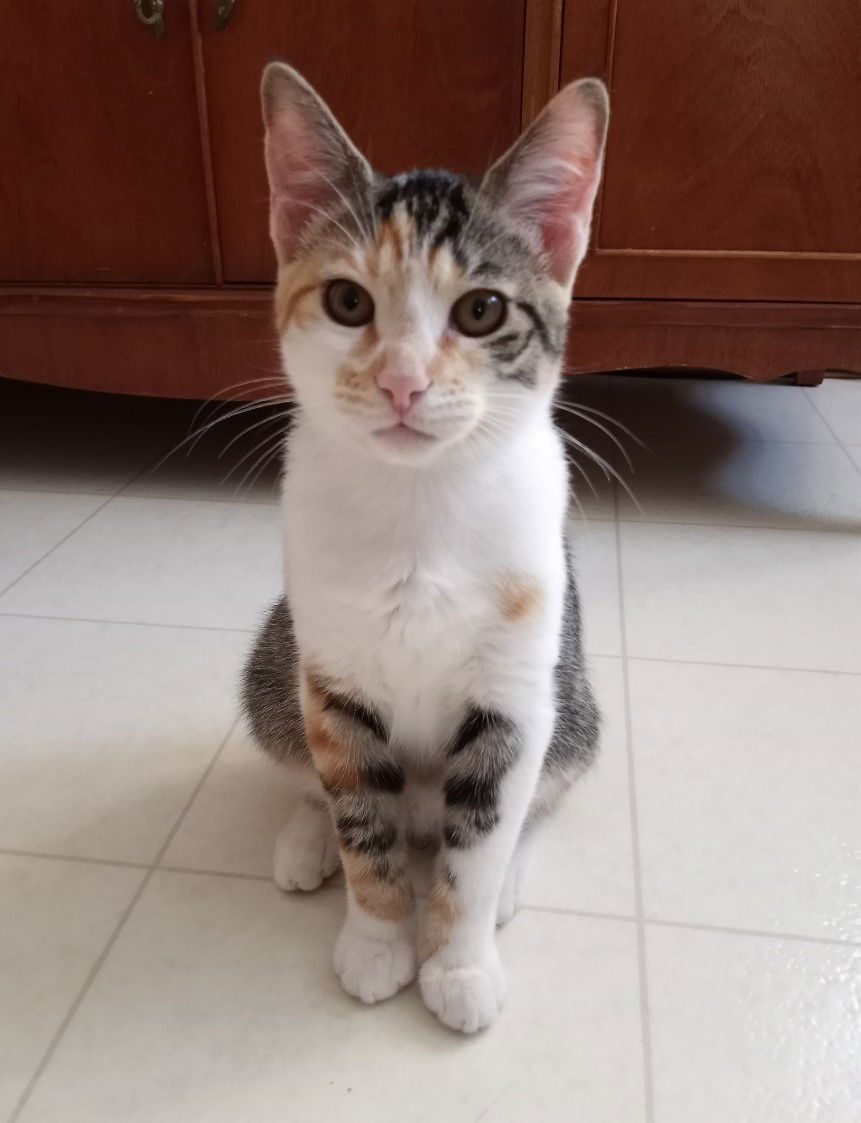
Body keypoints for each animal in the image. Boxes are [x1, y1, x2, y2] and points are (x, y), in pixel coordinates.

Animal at [242, 56, 606, 1028]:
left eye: (481, 310)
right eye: (345, 300)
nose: (403, 382)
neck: (418, 506)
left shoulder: (516, 692)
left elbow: (478, 840)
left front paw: (459, 962)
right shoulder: (331, 678)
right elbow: (357, 811)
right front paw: (375, 941)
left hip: (575, 699)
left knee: (534, 796)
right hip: (275, 657)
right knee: (306, 762)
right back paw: (304, 840)